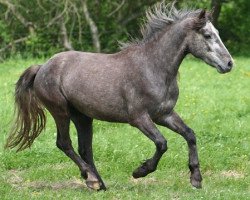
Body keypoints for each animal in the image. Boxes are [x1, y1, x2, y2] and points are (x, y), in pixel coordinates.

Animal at [5, 2, 232, 191]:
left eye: (216, 33)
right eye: (207, 35)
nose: (229, 64)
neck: (152, 67)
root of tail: (42, 67)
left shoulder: (164, 114)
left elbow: (190, 135)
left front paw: (196, 179)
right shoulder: (139, 118)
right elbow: (162, 143)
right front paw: (140, 171)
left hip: (83, 117)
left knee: (85, 148)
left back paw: (99, 183)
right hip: (60, 111)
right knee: (65, 144)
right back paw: (92, 179)